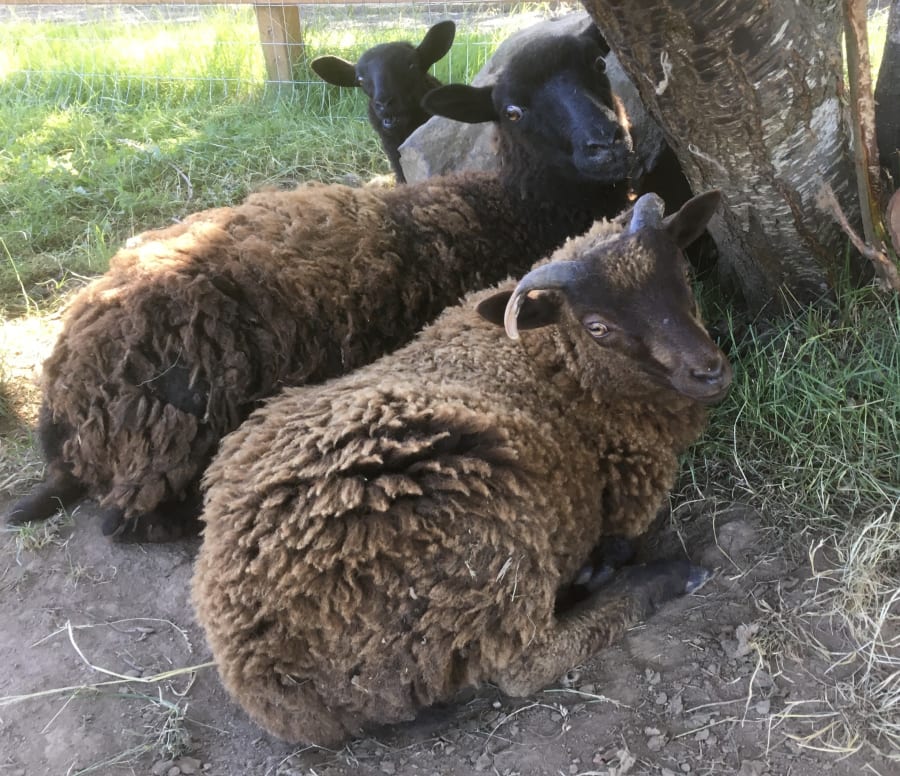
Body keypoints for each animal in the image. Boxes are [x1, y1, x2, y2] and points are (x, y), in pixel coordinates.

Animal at [191, 190, 732, 747]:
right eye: (598, 326)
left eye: (682, 274)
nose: (709, 371)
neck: (551, 363)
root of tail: (259, 668)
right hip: (486, 550)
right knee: (524, 665)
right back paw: (661, 576)